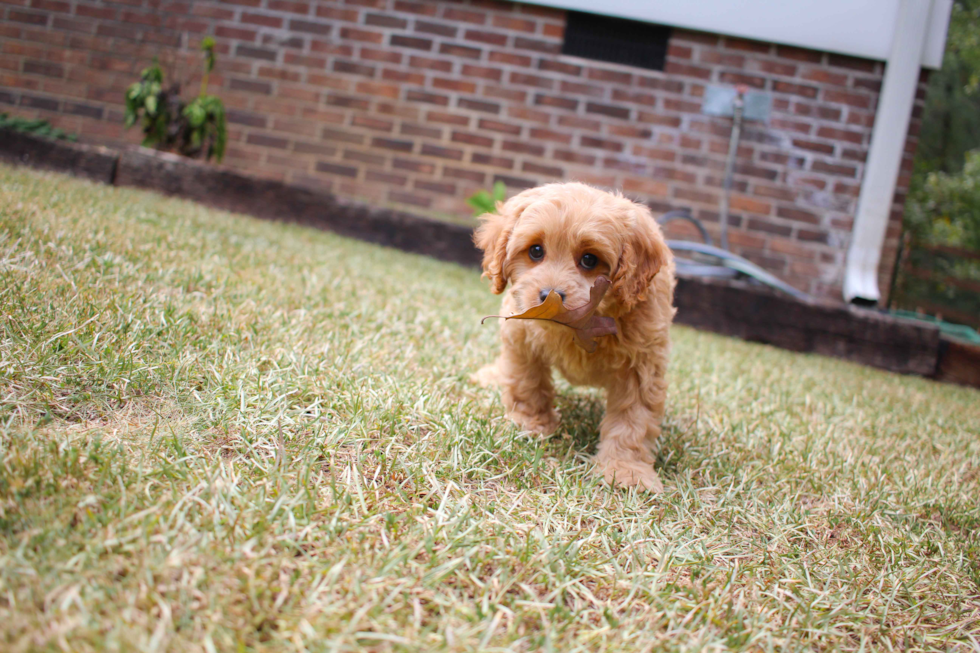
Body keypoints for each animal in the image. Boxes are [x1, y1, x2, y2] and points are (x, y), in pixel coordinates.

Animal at [472, 182, 672, 488]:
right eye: (536, 251)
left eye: (589, 259)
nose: (549, 295)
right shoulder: (520, 336)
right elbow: (527, 381)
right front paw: (530, 424)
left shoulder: (643, 363)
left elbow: (633, 418)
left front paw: (626, 470)